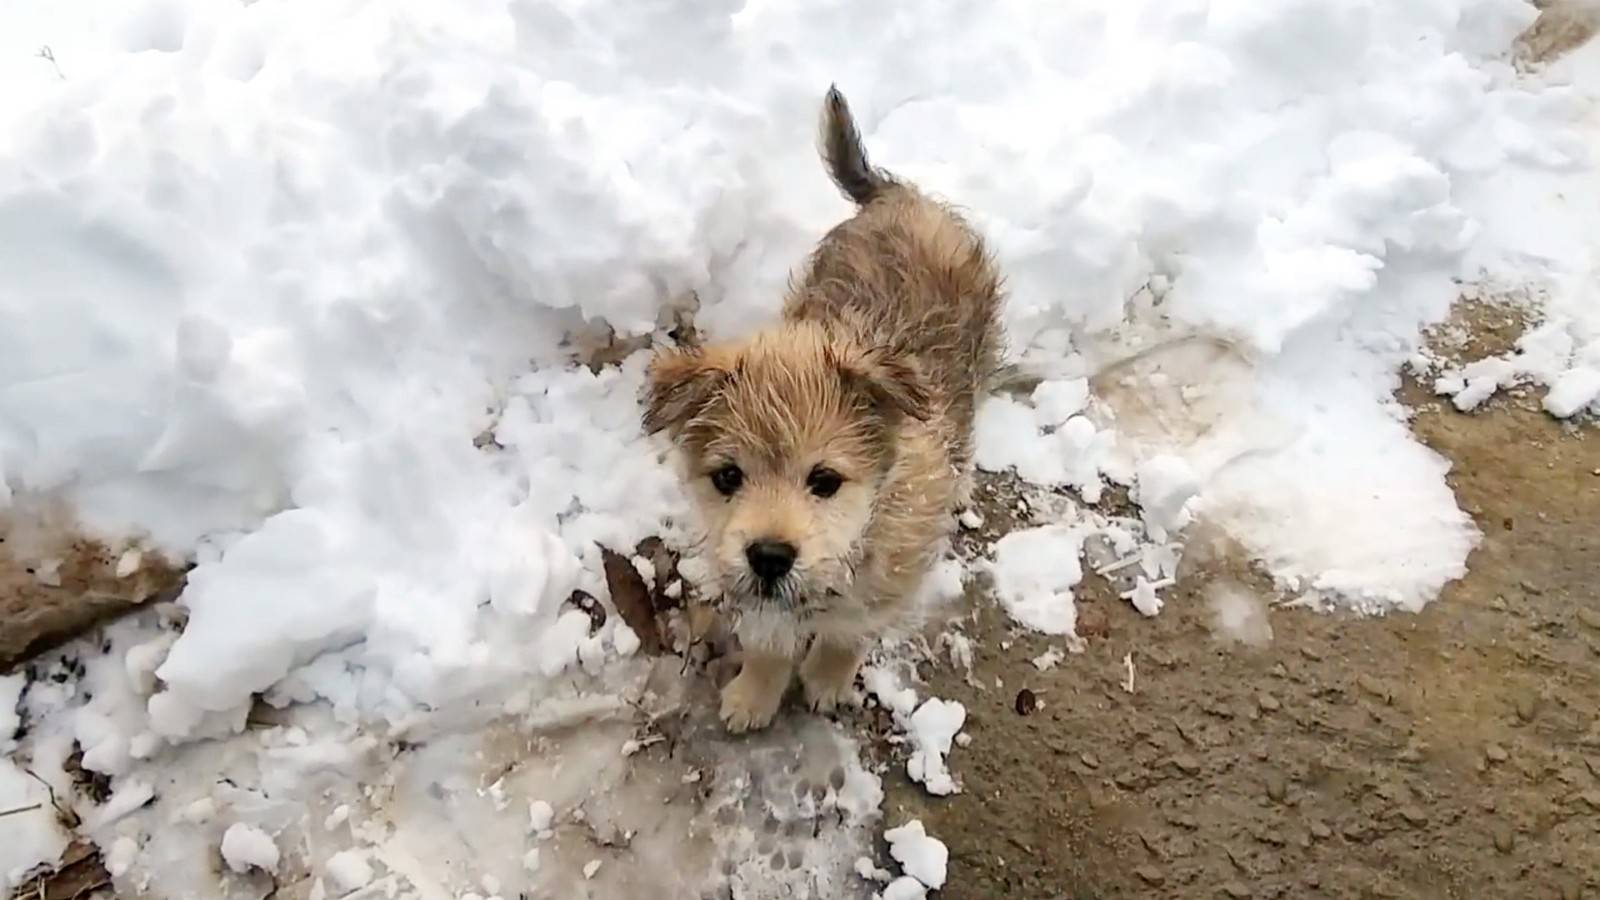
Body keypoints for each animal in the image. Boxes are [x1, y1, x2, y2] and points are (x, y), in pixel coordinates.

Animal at [640, 82, 998, 730]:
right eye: (727, 477)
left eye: (825, 480)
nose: (769, 556)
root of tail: (900, 197)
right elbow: (768, 637)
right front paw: (756, 691)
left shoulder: (888, 585)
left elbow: (848, 632)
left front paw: (828, 677)